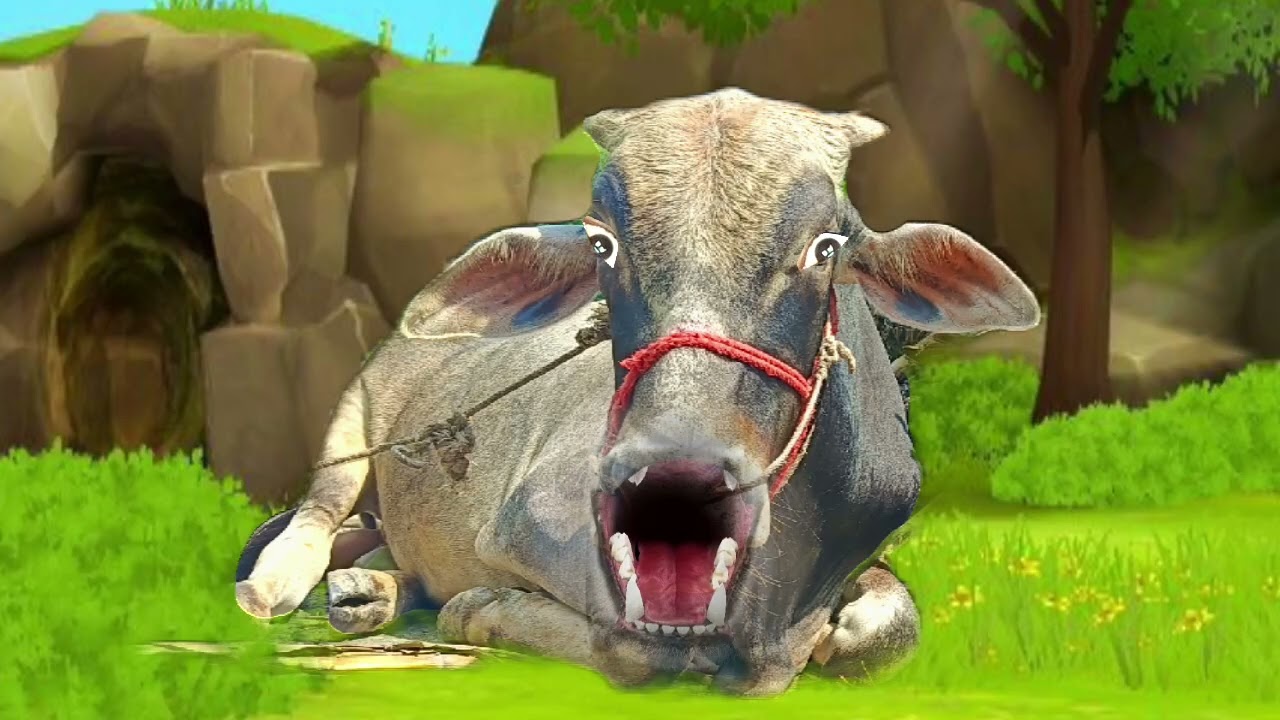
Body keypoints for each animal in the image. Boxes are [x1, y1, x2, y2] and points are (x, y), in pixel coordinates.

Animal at [233, 88, 1040, 695]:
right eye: (602, 244)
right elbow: (633, 644)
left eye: (826, 249)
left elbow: (887, 626)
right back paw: (285, 586)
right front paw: (476, 610)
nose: (678, 476)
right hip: (354, 415)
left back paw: (371, 592)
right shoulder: (531, 528)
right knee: (317, 515)